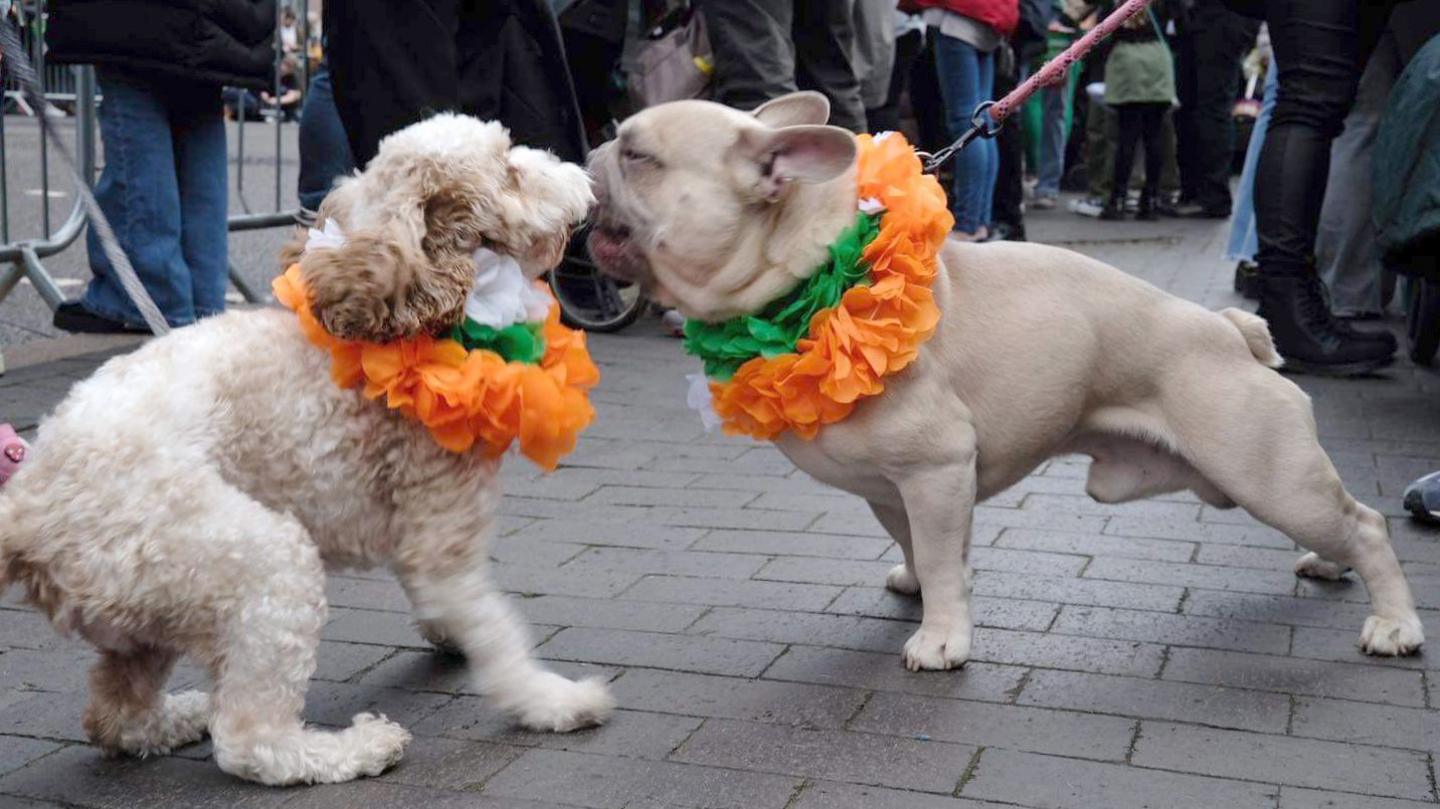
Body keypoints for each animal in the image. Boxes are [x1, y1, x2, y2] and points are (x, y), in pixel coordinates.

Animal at [0, 113, 613, 783]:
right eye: (509, 170)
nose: (584, 173)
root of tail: (26, 509)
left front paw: (449, 637)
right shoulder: (440, 536)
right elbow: (497, 633)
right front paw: (552, 701)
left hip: (147, 607)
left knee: (116, 717)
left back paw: (182, 716)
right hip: (259, 564)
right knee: (248, 739)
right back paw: (352, 748)